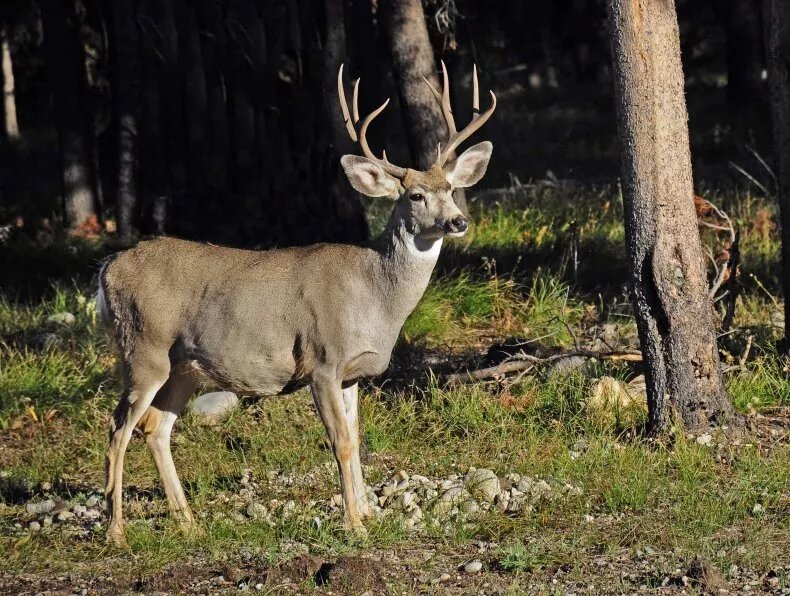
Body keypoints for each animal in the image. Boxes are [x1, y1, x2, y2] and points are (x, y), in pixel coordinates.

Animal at [97, 61, 496, 544]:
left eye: (451, 189)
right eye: (415, 195)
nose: (457, 221)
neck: (375, 298)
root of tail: (106, 269)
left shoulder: (352, 374)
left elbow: (356, 440)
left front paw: (368, 513)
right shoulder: (322, 361)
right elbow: (339, 442)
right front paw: (354, 524)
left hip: (184, 367)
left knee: (156, 428)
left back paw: (189, 524)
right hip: (143, 348)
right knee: (118, 428)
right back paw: (116, 531)